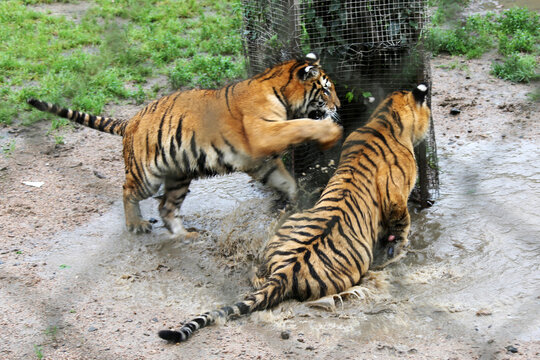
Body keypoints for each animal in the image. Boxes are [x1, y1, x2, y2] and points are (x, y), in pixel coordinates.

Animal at [27, 51, 340, 236]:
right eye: (326, 90)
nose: (338, 106)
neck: (280, 92)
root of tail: (131, 121)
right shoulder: (262, 135)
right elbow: (301, 125)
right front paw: (331, 132)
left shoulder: (259, 160)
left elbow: (284, 179)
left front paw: (297, 200)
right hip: (145, 177)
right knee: (127, 190)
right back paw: (136, 224)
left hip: (178, 175)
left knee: (166, 207)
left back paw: (185, 234)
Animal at [157, 83, 430, 344]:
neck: (385, 119)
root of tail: (285, 273)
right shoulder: (397, 196)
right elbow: (401, 223)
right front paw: (398, 249)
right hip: (346, 275)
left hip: (284, 231)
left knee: (257, 276)